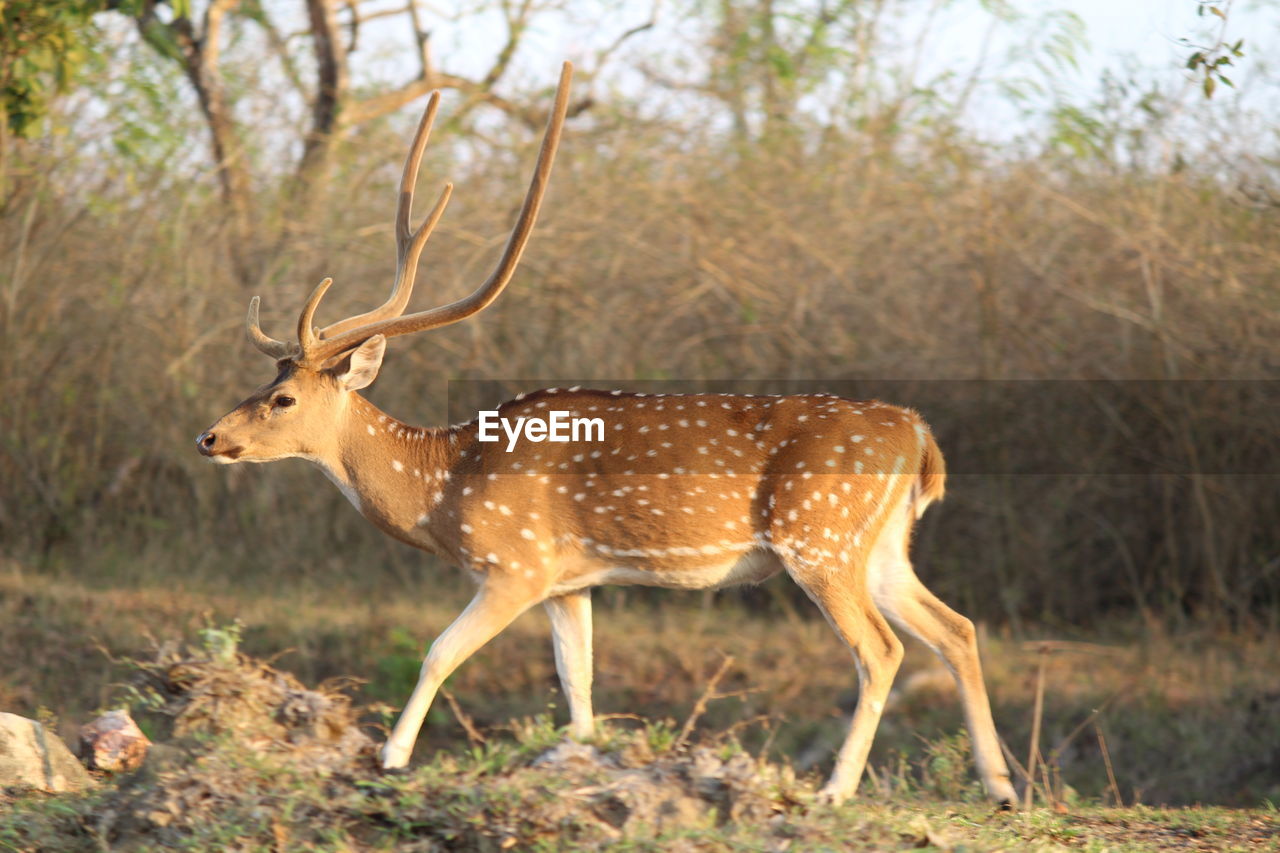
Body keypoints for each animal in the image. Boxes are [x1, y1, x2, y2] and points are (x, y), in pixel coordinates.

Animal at [195, 62, 1017, 808]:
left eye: (282, 397)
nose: (209, 438)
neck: (444, 487)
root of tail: (918, 436)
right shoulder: (572, 581)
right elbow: (578, 683)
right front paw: (581, 765)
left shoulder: (516, 562)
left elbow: (437, 653)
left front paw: (391, 757)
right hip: (879, 546)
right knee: (956, 627)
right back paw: (1001, 787)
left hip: (818, 536)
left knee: (882, 649)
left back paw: (835, 791)